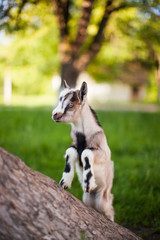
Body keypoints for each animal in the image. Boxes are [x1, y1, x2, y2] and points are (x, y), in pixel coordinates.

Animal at [52, 81, 114, 221]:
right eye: (60, 99)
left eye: (71, 104)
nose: (54, 114)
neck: (84, 136)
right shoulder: (74, 145)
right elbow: (70, 151)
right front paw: (65, 182)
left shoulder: (104, 153)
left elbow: (86, 152)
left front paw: (88, 184)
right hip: (87, 200)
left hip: (103, 200)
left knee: (110, 212)